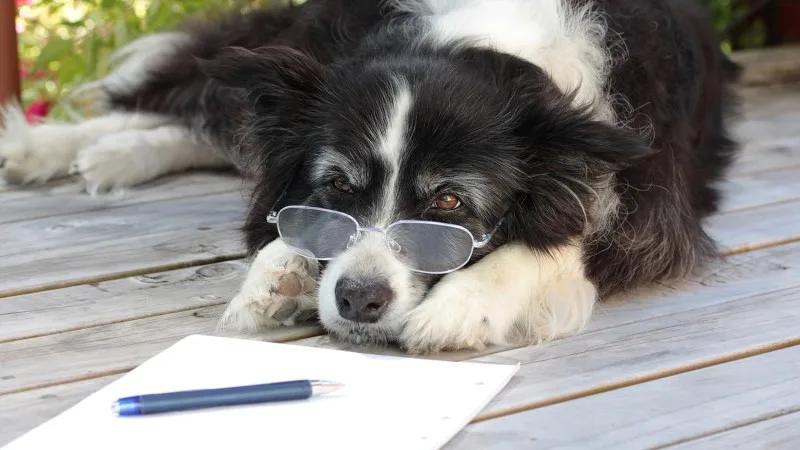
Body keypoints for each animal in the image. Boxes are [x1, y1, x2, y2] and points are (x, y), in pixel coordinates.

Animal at [0, 0, 736, 352]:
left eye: (450, 201)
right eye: (336, 187)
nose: (357, 301)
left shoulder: (650, 210)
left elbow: (562, 239)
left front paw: (461, 305)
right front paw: (277, 272)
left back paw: (109, 156)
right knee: (190, 101)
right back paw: (51, 148)